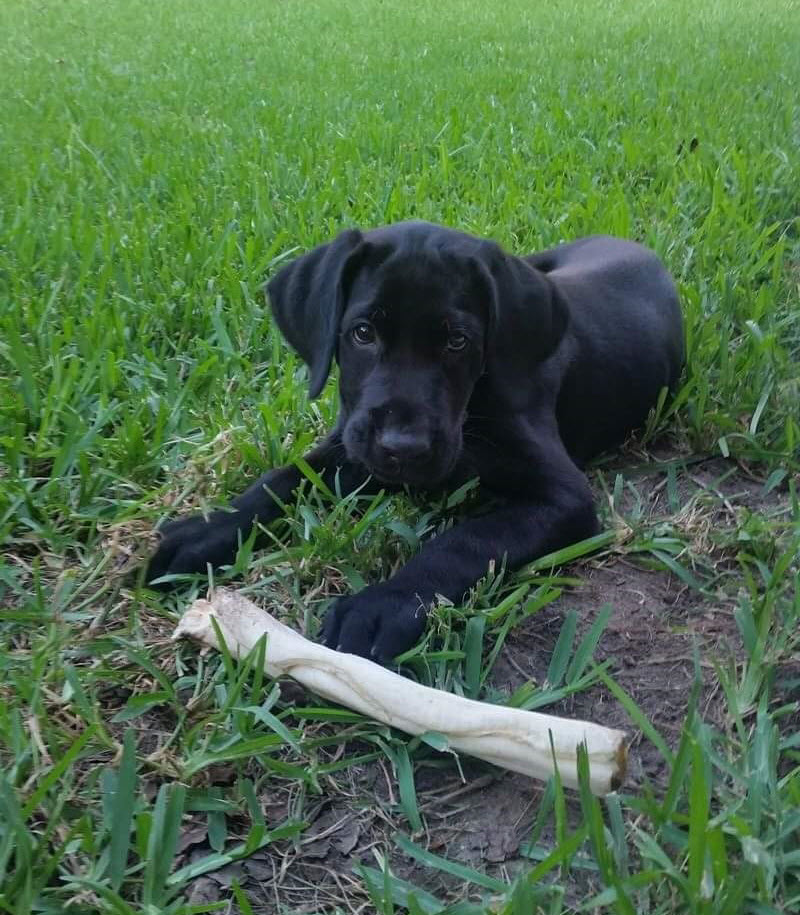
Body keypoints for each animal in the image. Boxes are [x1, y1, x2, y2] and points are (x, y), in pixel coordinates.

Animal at [147, 225, 684, 660]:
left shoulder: (564, 497)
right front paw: (207, 529)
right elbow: (283, 478)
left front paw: (384, 606)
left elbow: (465, 541)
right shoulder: (351, 445)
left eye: (457, 341)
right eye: (363, 333)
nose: (402, 448)